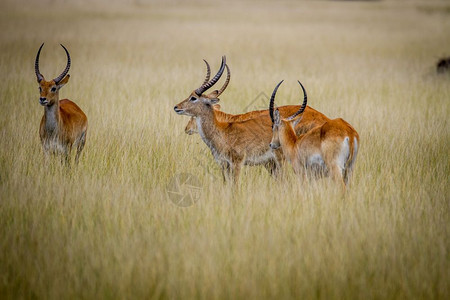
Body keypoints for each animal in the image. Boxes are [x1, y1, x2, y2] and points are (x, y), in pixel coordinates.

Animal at [174, 56, 328, 183]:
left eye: (193, 97)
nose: (176, 107)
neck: (222, 130)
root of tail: (323, 119)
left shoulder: (237, 163)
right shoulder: (224, 165)